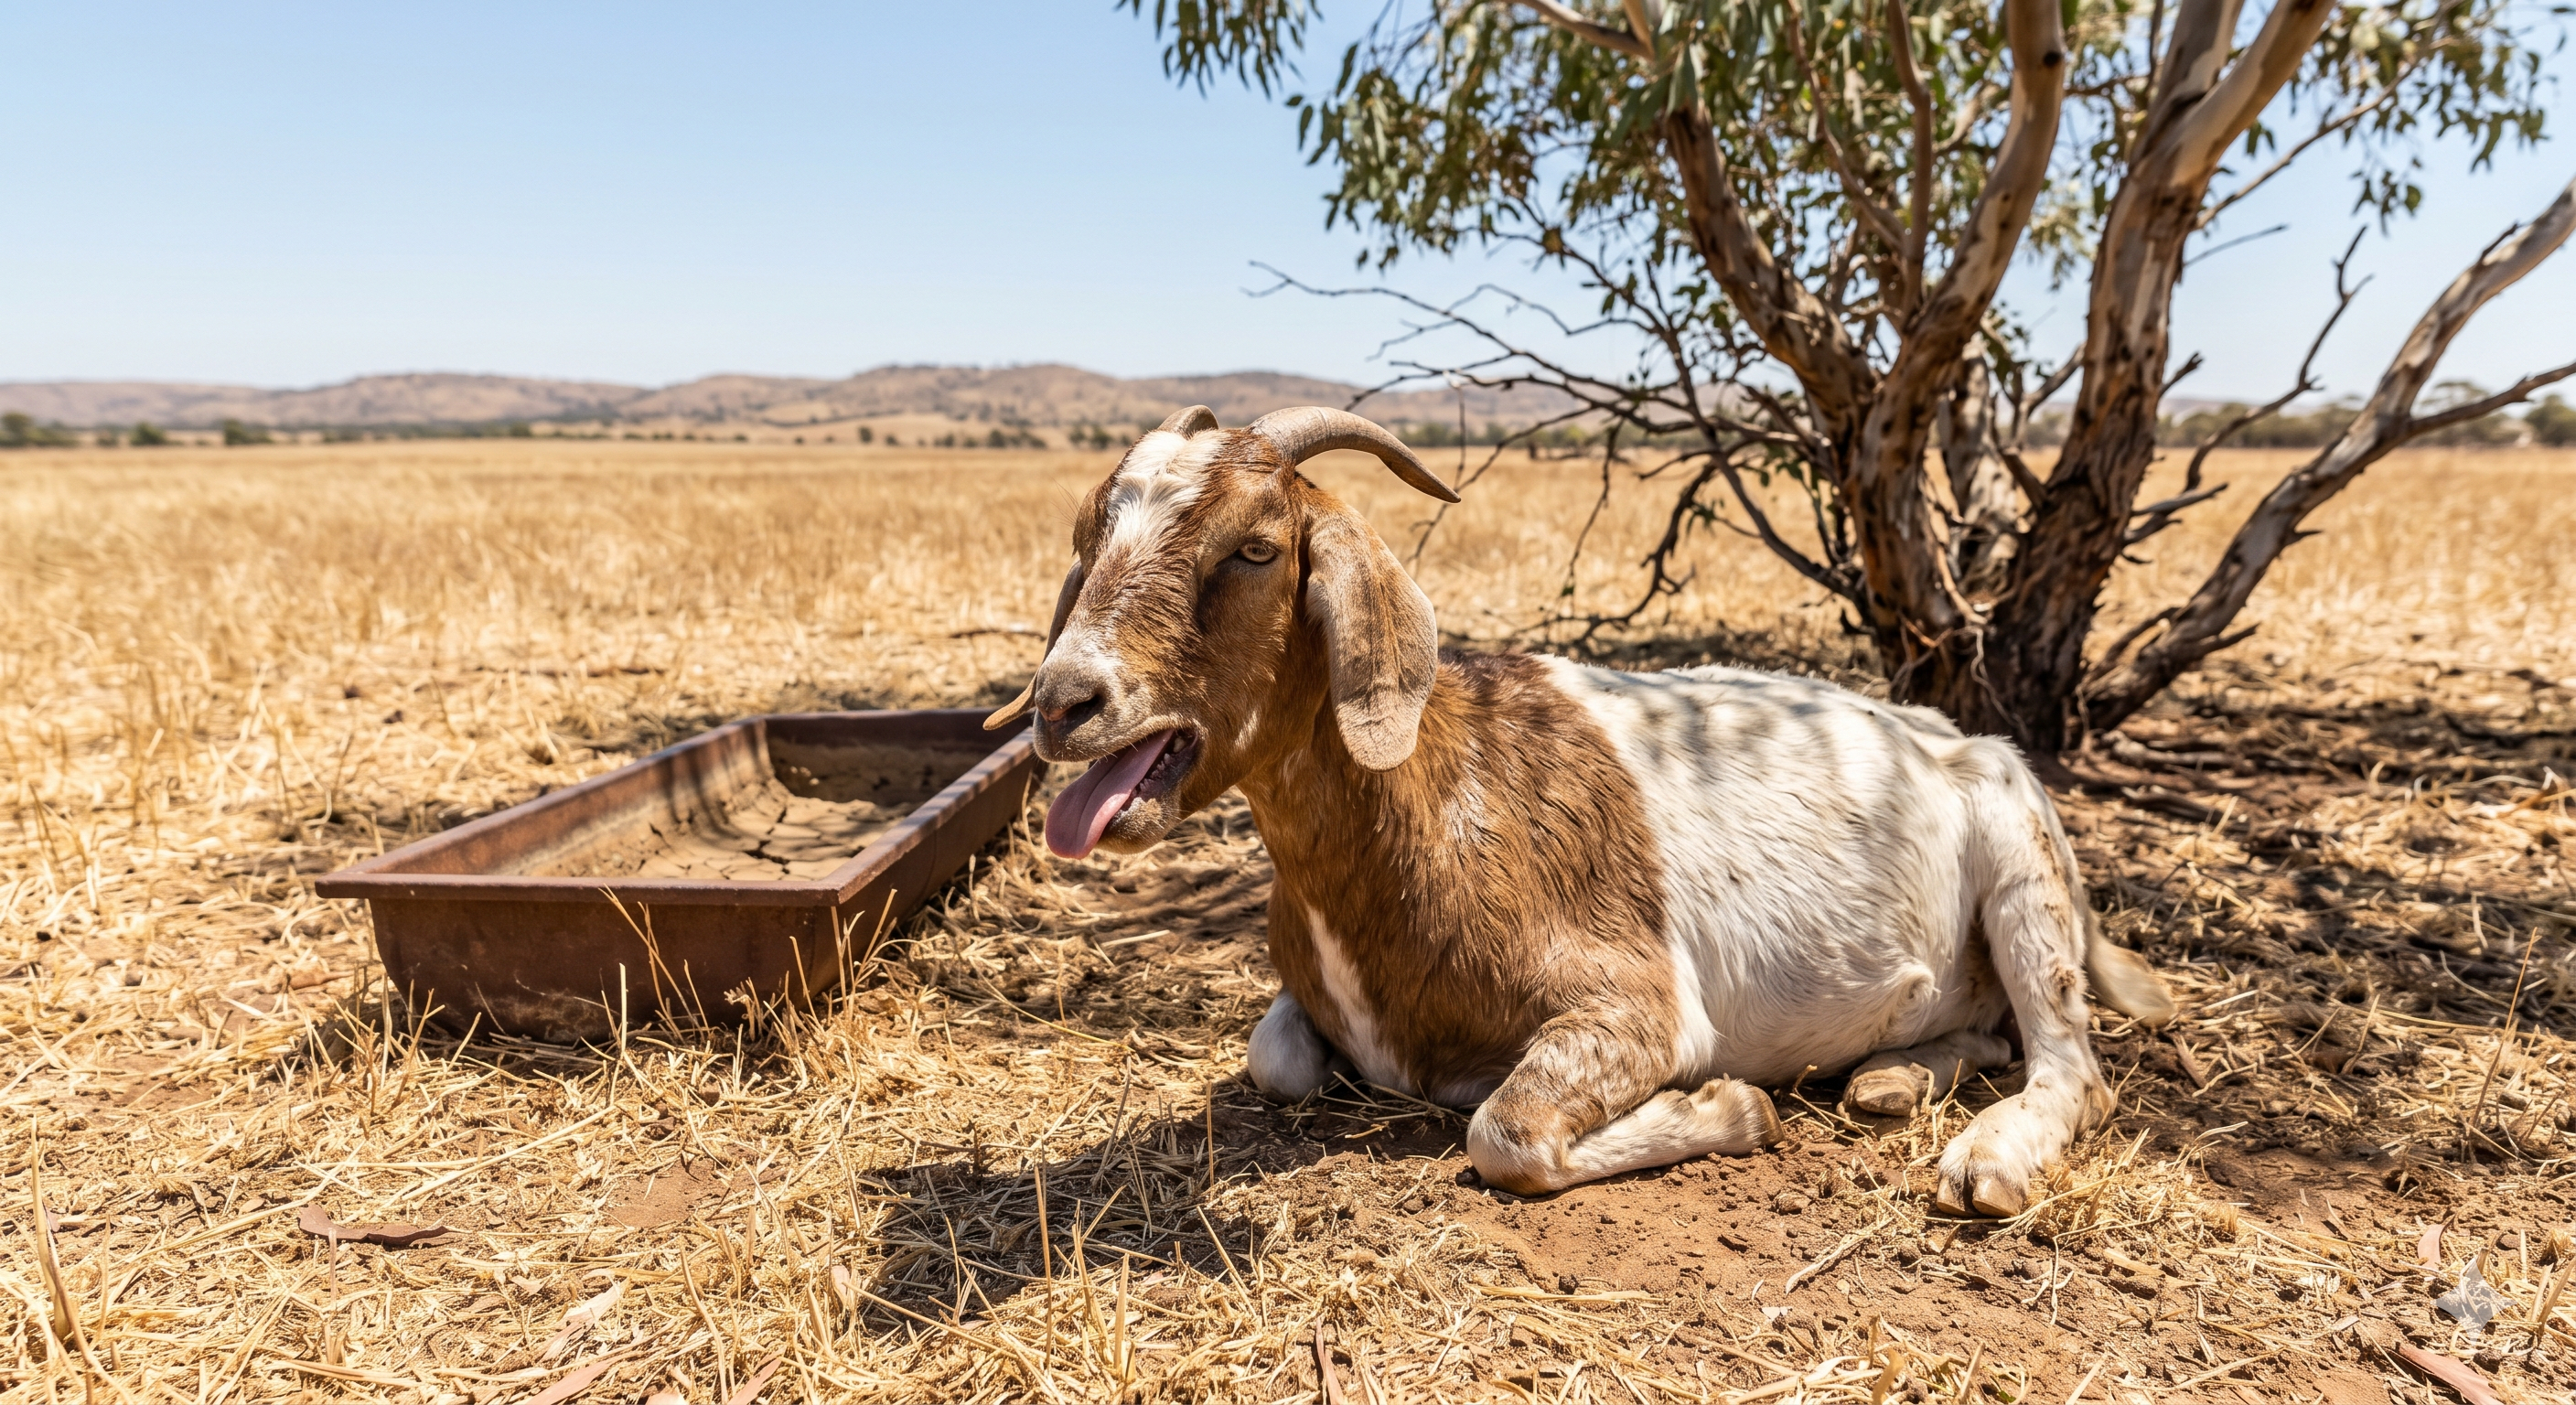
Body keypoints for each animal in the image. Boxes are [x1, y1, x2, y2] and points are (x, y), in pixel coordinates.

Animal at [986, 405, 2175, 1214]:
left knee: (2072, 1068)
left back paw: (1984, 1159)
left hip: (2022, 869)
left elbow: (1502, 1133)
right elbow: (1272, 1059)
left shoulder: (1635, 1006)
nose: (1063, 702)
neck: (1423, 806)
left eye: (1253, 547)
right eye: (1088, 538)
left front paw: (1728, 1108)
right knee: (1985, 1031)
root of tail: (1962, 739)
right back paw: (1888, 1077)